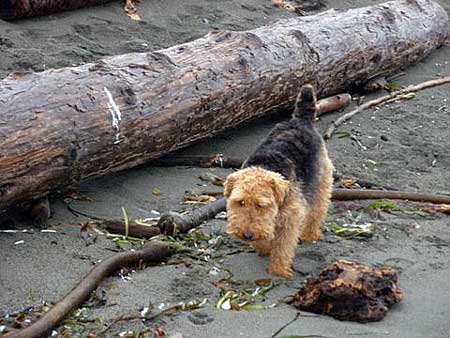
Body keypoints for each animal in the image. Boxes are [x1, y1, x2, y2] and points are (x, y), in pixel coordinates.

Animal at [223, 84, 332, 278]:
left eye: (261, 205)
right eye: (240, 202)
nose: (247, 235)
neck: (266, 165)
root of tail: (301, 120)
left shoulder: (291, 218)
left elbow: (283, 246)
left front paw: (278, 270)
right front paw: (264, 248)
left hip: (322, 179)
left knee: (318, 209)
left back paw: (310, 233)